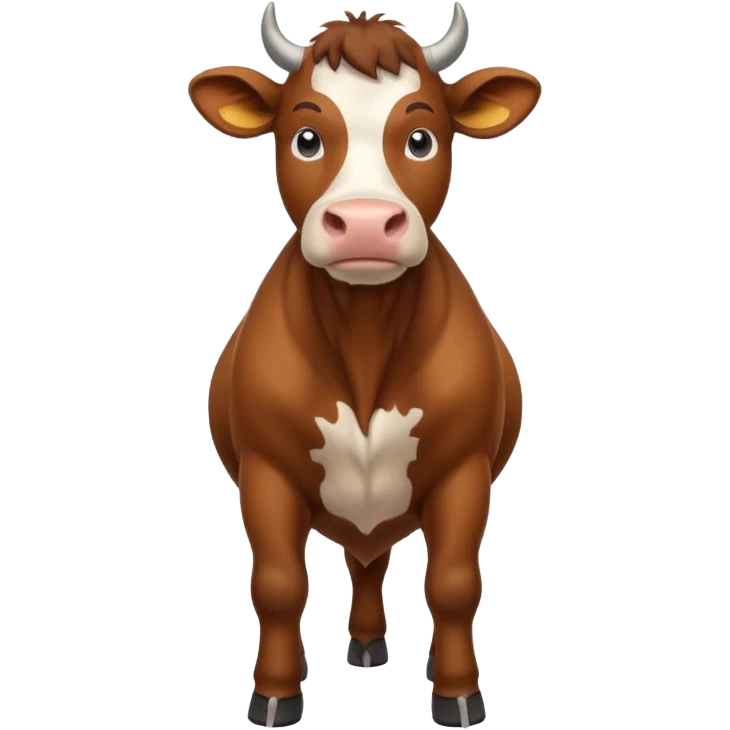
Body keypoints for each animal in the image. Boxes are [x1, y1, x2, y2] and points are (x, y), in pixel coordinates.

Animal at [190, 3, 538, 727]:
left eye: (422, 139)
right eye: (304, 138)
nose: (366, 223)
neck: (365, 335)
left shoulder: (465, 471)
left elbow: (455, 584)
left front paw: (458, 693)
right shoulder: (265, 471)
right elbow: (277, 585)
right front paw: (275, 693)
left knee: (372, 560)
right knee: (365, 560)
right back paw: (367, 644)